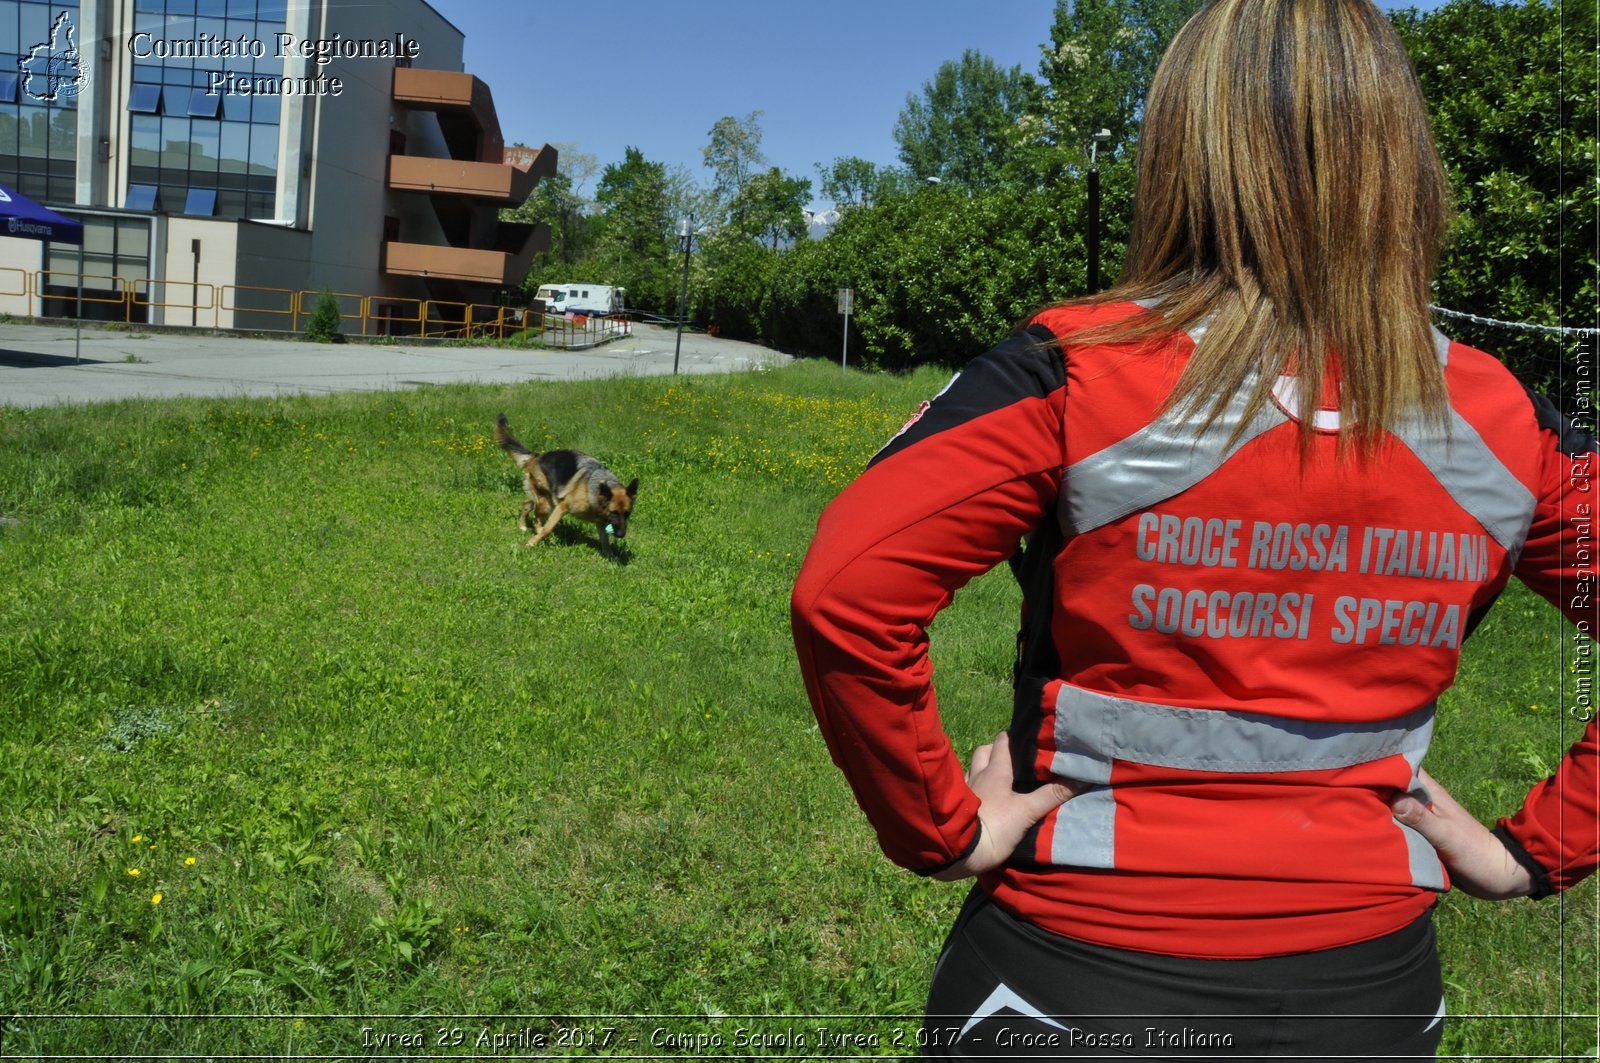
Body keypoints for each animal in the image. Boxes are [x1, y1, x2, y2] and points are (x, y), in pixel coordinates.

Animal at [492, 413, 636, 560]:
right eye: (614, 513)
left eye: (627, 514)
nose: (621, 535)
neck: (593, 491)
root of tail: (537, 455)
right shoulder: (562, 507)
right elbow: (548, 529)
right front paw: (531, 543)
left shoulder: (600, 522)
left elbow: (605, 543)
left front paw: (612, 557)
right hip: (547, 504)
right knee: (538, 521)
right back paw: (538, 534)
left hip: (544, 499)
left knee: (526, 504)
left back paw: (523, 526)